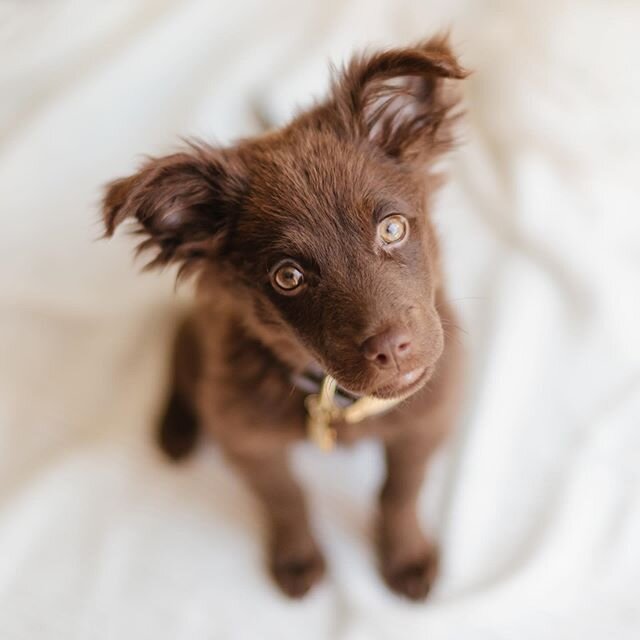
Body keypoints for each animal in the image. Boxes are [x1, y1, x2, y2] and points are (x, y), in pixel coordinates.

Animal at [102, 36, 468, 600]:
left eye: (392, 228)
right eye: (288, 277)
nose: (392, 347)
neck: (336, 400)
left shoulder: (429, 417)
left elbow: (400, 491)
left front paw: (405, 555)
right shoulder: (248, 440)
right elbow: (286, 499)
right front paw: (297, 558)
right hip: (194, 341)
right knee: (179, 357)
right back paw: (176, 428)